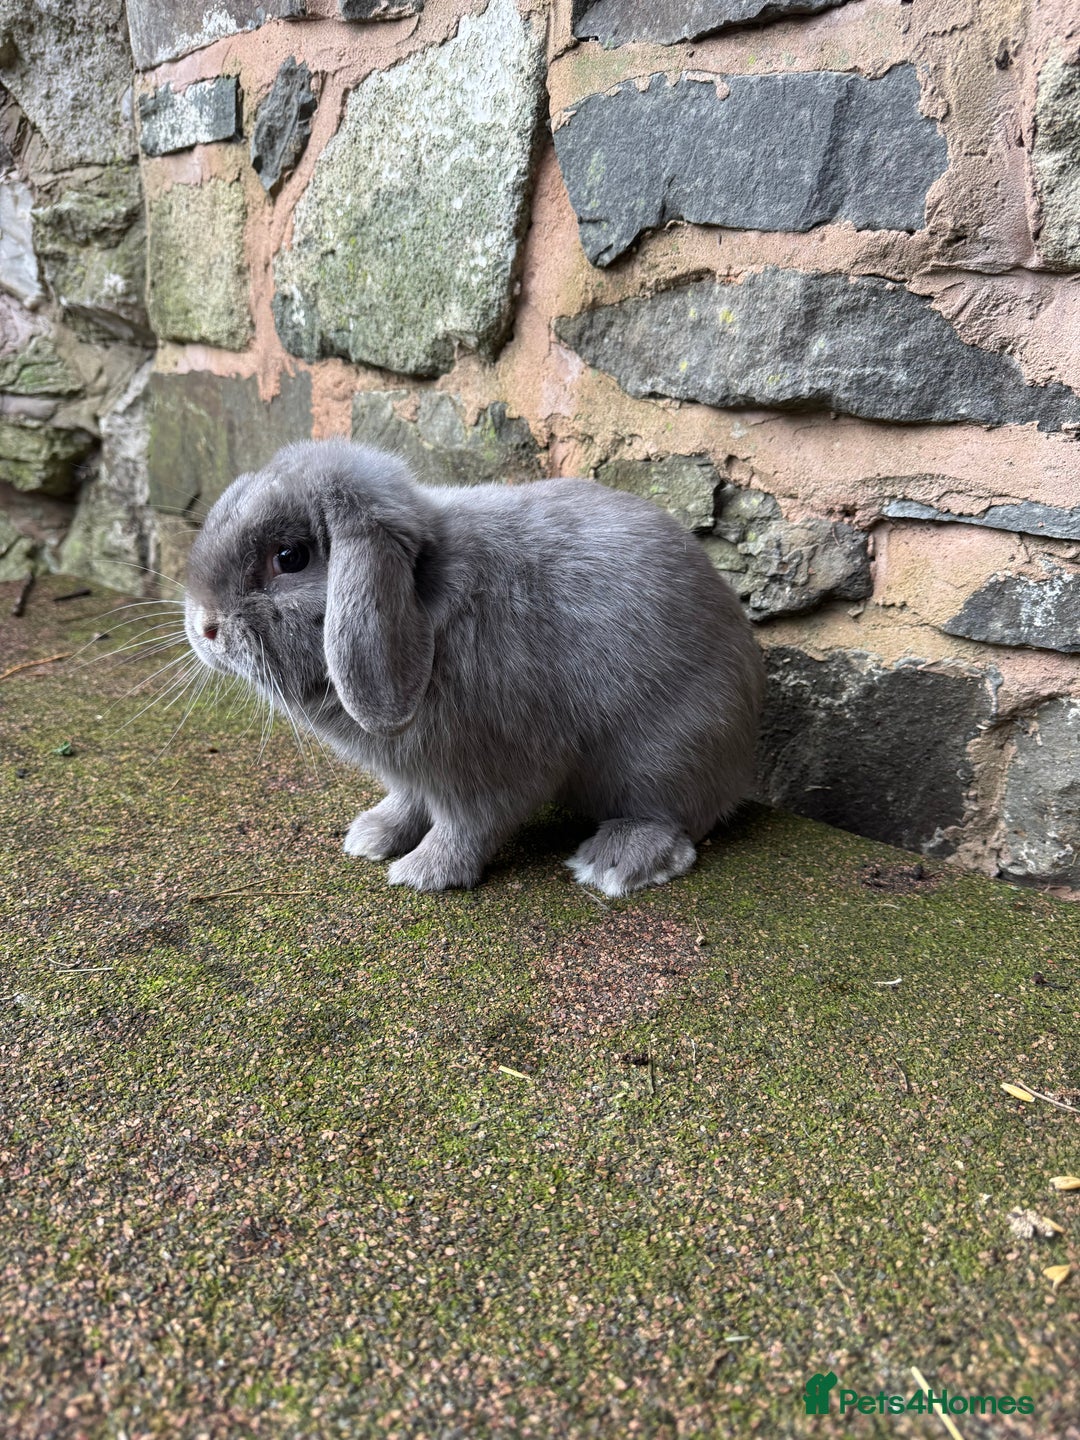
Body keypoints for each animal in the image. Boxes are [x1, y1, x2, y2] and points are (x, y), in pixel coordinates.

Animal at [183, 438, 765, 896]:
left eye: (289, 558)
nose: (204, 627)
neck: (430, 607)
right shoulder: (414, 774)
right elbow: (408, 803)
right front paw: (371, 837)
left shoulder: (492, 768)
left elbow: (468, 825)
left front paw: (422, 873)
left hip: (663, 759)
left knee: (676, 823)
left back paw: (614, 862)